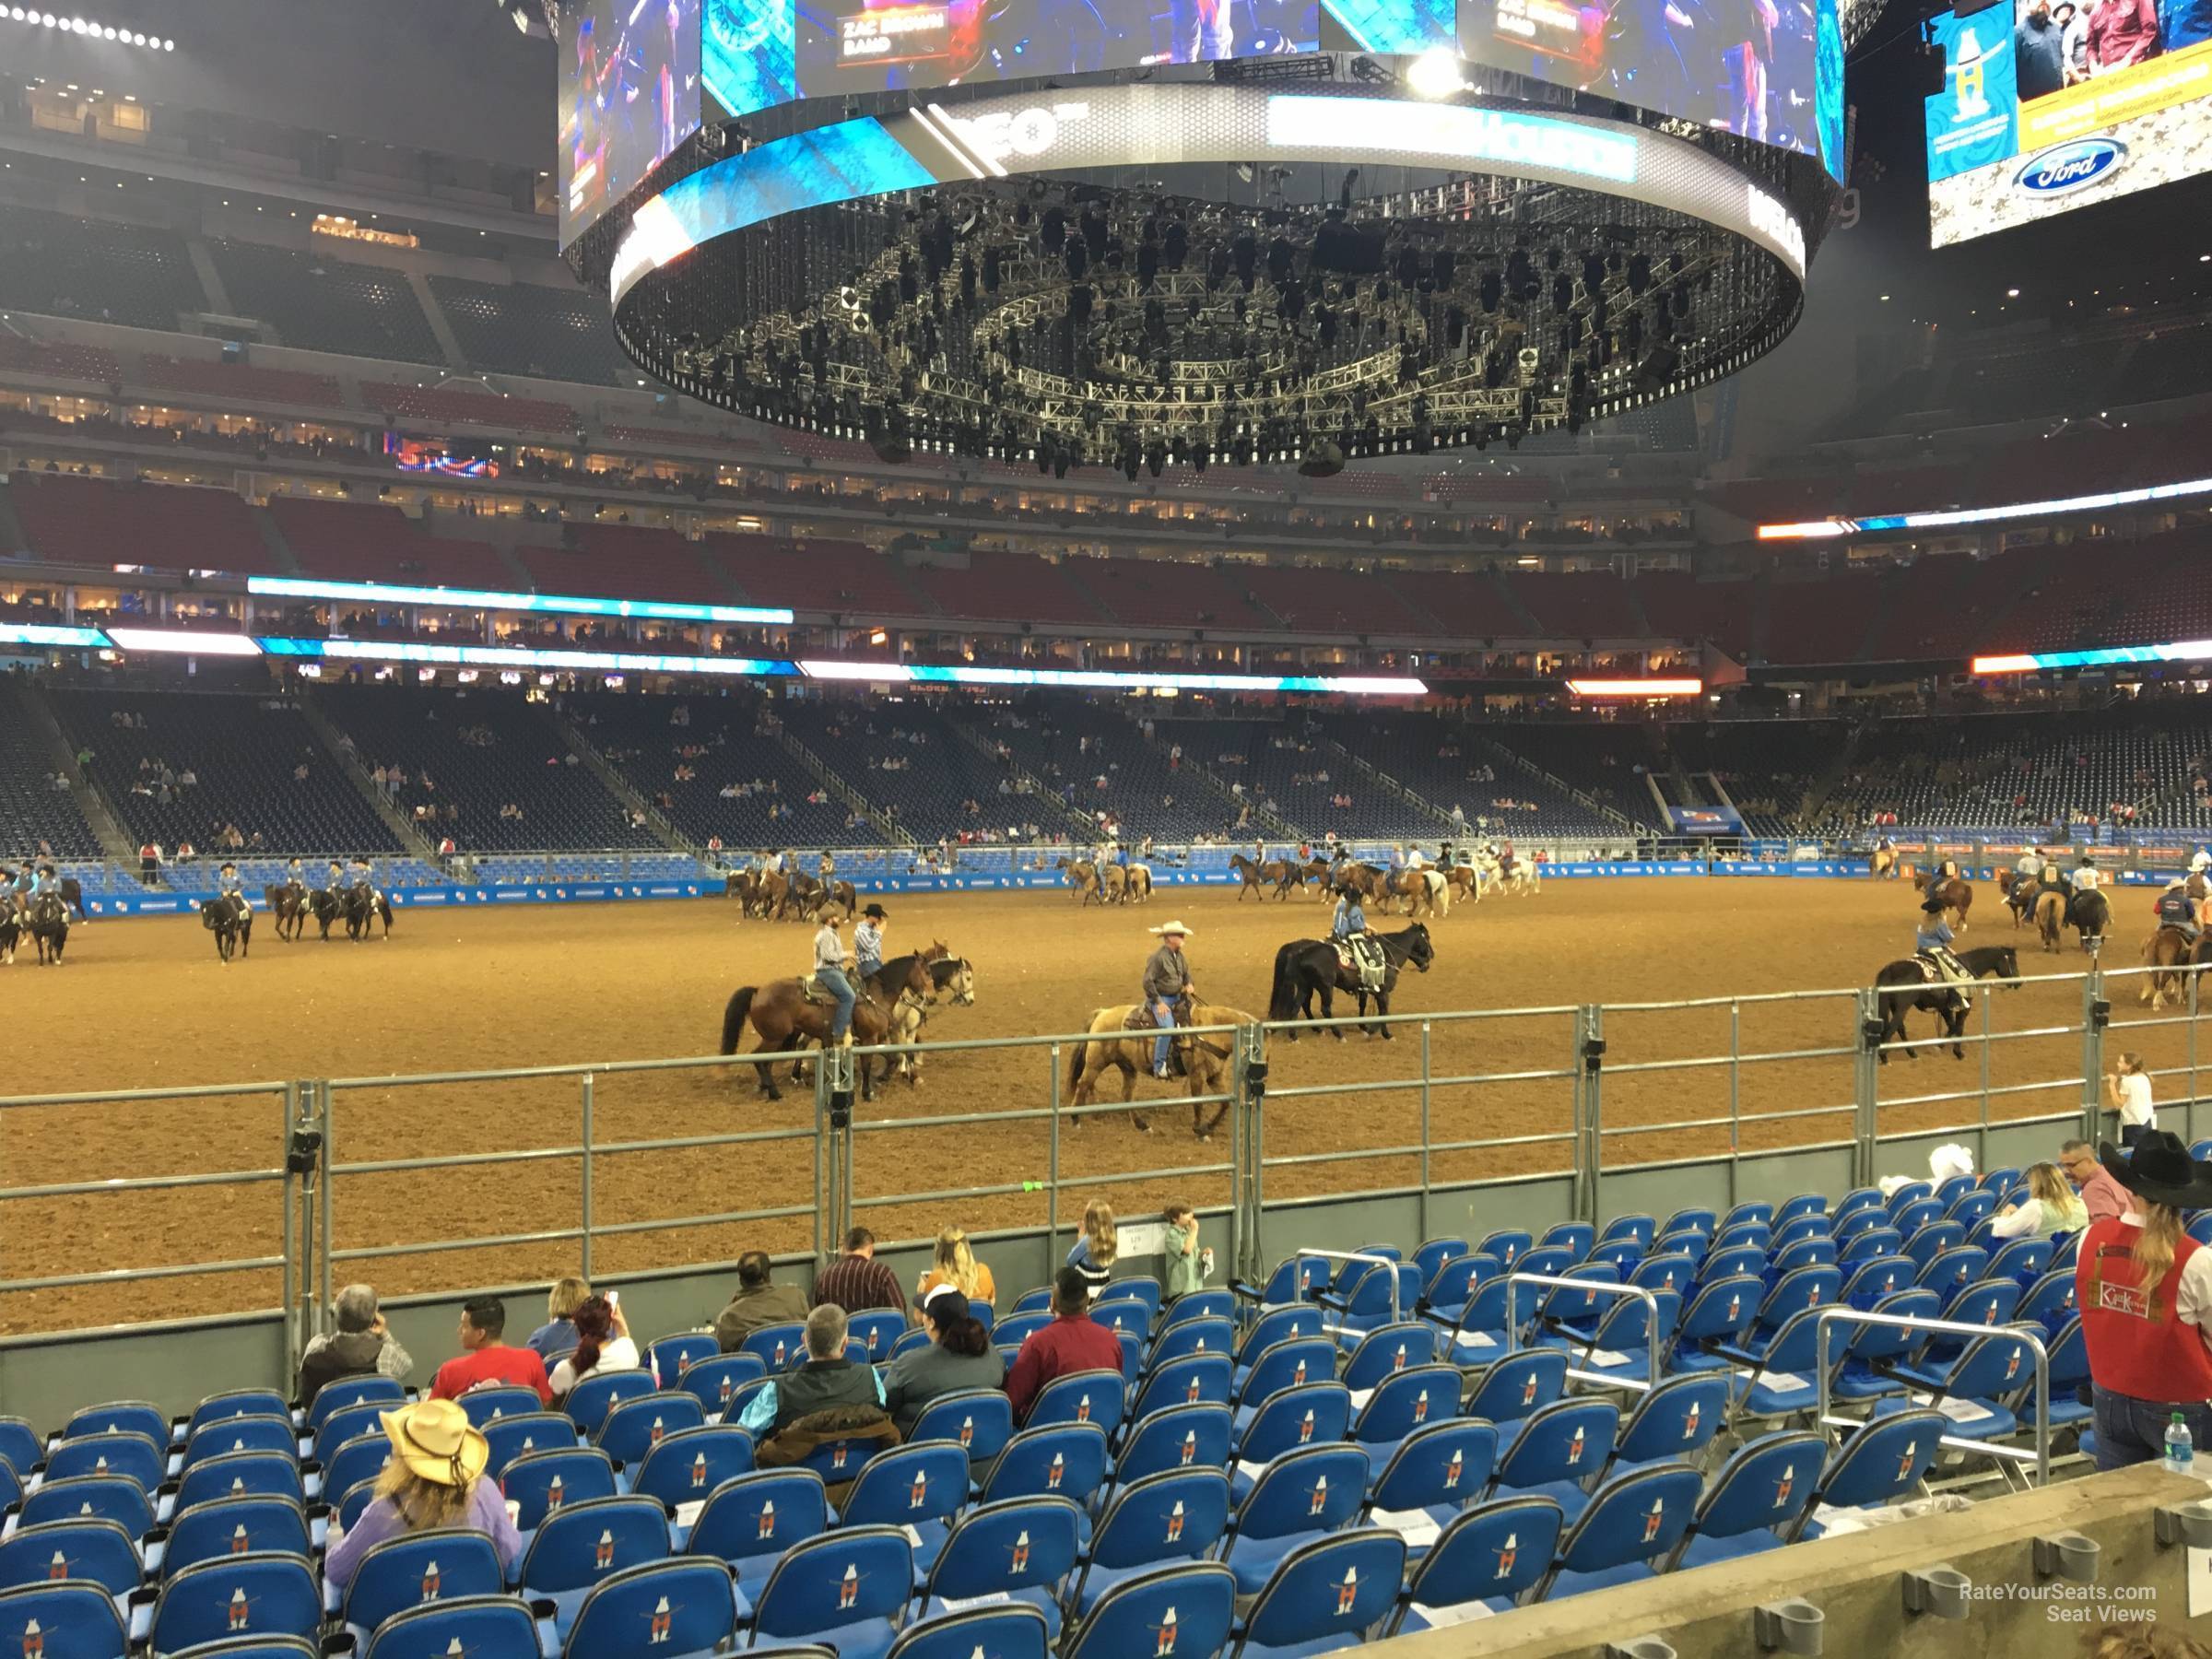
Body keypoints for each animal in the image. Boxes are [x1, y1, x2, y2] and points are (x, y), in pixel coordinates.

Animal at [1062, 995, 1256, 1141]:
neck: (1210, 1031)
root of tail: (1102, 1012)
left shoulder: (1214, 1075)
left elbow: (1224, 1103)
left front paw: (1208, 1127)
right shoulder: (1196, 1074)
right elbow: (1198, 1103)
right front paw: (1199, 1131)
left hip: (1127, 1066)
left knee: (1126, 1094)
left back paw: (1143, 1126)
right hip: (1096, 1063)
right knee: (1082, 1084)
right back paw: (1075, 1120)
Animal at [1274, 924, 1441, 1040]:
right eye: (1427, 937)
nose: (1432, 955)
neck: (1387, 954)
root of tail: (1301, 952)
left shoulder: (1366, 989)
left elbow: (1365, 1006)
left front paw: (1364, 1027)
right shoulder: (1383, 992)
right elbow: (1384, 1011)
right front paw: (1382, 1033)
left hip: (1305, 986)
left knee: (1298, 1005)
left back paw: (1297, 1034)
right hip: (1325, 987)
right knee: (1325, 1009)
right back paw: (1338, 1034)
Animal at [1866, 947, 2026, 1065]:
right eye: (2013, 962)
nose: (2019, 982)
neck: (1969, 965)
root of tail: (1889, 970)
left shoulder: (1944, 1007)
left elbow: (1951, 1026)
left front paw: (1939, 1045)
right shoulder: (1965, 1005)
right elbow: (1958, 1027)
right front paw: (1958, 1052)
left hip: (1895, 1007)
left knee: (1900, 1029)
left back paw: (1912, 1054)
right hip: (1902, 1007)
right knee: (1892, 1028)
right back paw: (1884, 1058)